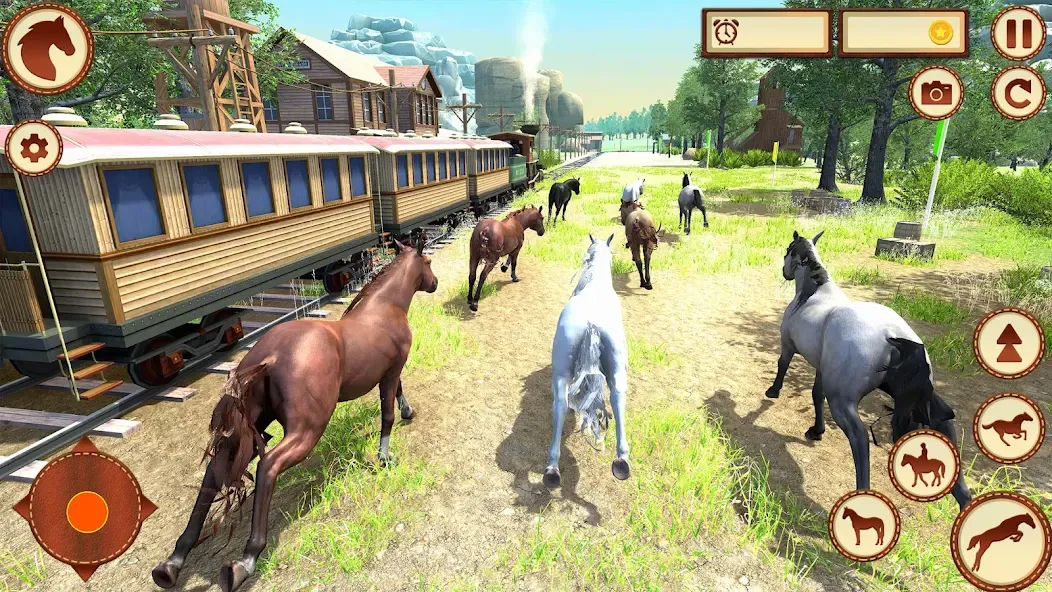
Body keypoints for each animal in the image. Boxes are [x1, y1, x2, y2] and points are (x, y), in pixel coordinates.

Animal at [152, 239, 438, 592]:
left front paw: (407, 413)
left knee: (215, 470)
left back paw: (173, 562)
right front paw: (385, 456)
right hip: (306, 431)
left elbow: (398, 393)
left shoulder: (390, 371)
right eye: (427, 263)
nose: (434, 283)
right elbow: (388, 410)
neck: (384, 309)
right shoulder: (393, 367)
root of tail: (269, 356)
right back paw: (244, 561)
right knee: (268, 466)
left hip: (249, 430)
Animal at [766, 231, 973, 510]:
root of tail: (893, 337)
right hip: (926, 404)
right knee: (944, 432)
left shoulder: (788, 347)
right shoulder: (822, 368)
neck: (812, 294)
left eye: (788, 251)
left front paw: (773, 392)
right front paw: (816, 431)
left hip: (843, 403)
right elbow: (816, 395)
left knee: (860, 440)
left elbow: (782, 367)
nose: (785, 272)